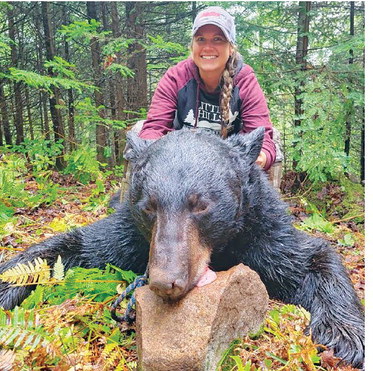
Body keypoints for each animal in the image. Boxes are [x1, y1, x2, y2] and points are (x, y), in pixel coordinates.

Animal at [0, 128, 364, 370]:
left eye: (201, 205)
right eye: (149, 206)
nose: (166, 281)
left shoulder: (262, 233)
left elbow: (313, 257)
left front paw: (346, 336)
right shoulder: (129, 235)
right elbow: (75, 245)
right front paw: (8, 282)